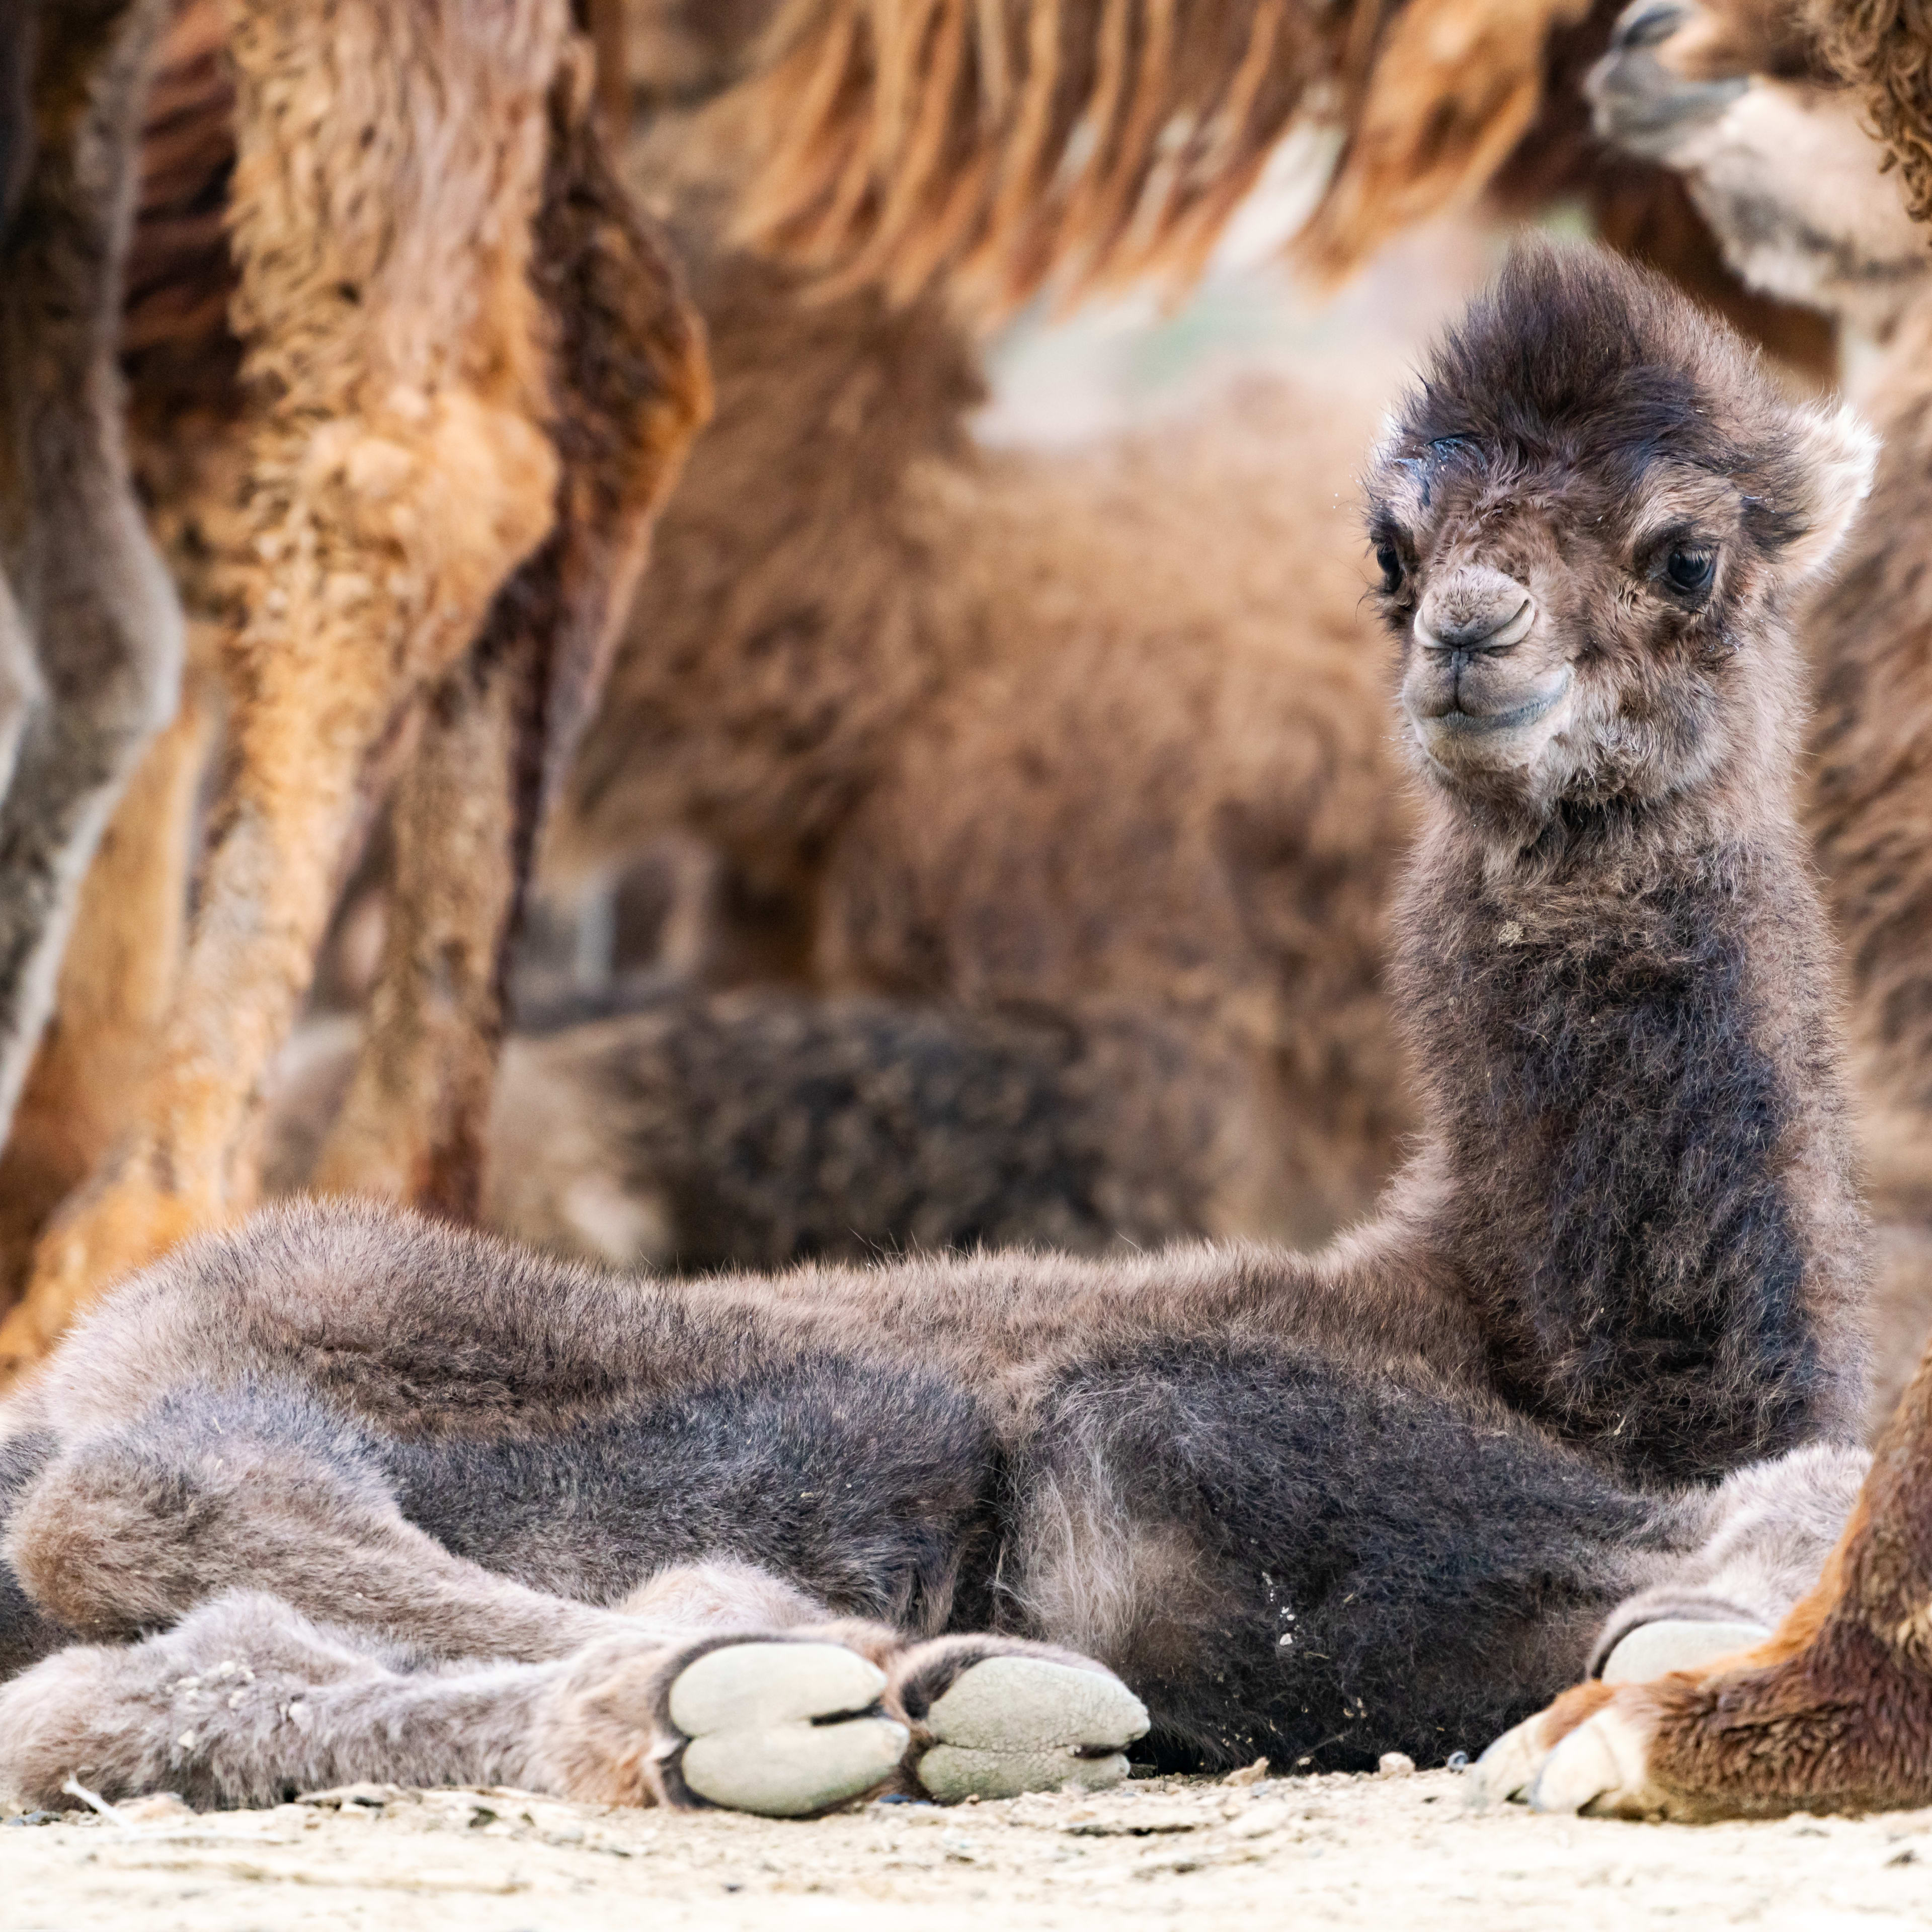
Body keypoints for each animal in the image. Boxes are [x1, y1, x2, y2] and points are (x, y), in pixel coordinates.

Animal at [0, 248, 1883, 1813]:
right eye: (1392, 548)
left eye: (1685, 552)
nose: (1469, 637)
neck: (1525, 1335)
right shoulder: (1181, 1420)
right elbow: (1765, 1513)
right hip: (321, 1315)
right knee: (163, 1502)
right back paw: (798, 1677)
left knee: (109, 1659)